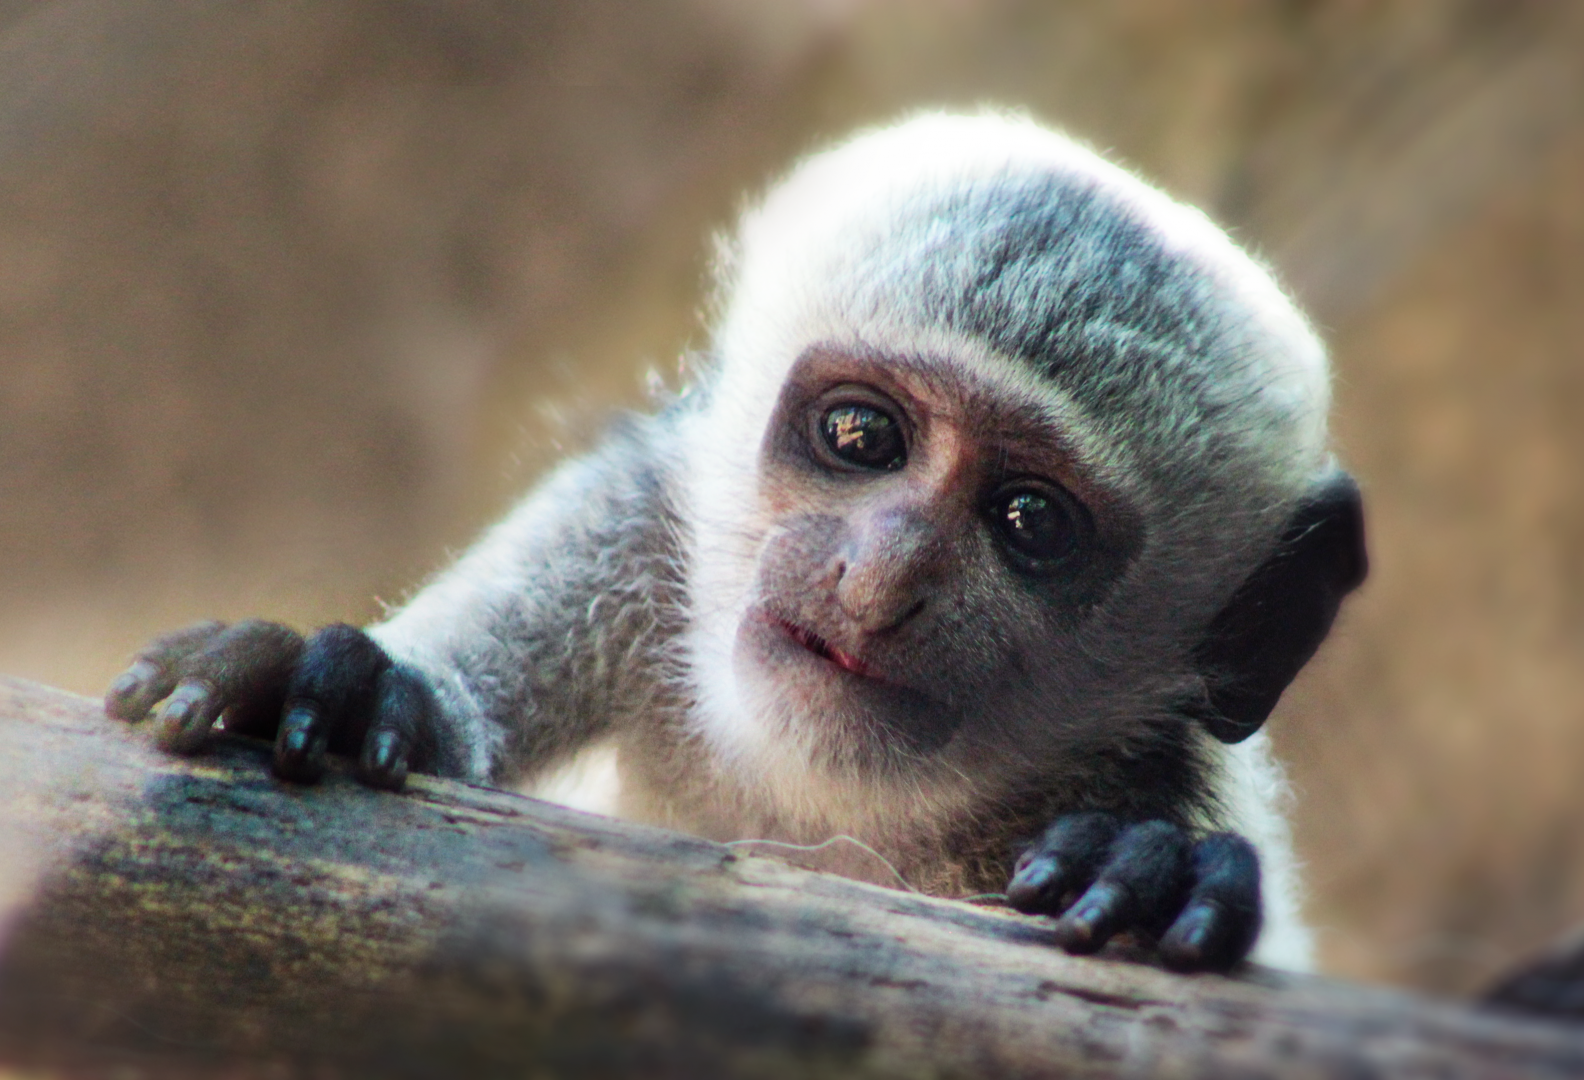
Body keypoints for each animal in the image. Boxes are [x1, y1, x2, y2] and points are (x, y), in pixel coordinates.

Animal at [105, 111, 1366, 975]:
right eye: (860, 434)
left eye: (1031, 522)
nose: (881, 577)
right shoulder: (630, 521)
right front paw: (358, 692)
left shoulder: (1173, 766)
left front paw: (1144, 873)